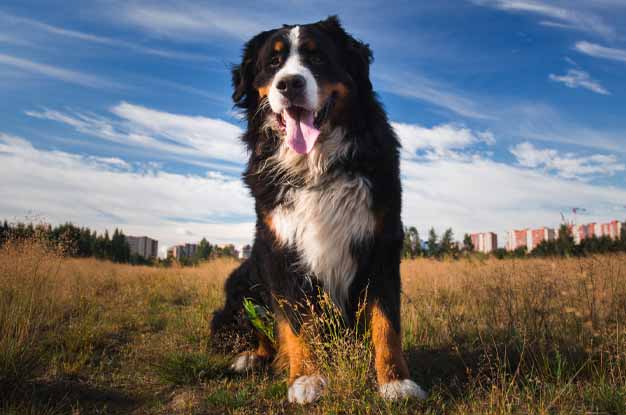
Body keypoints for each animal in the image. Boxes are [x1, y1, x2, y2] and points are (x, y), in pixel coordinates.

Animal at [212, 15, 426, 404]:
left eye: (317, 57)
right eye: (273, 62)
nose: (289, 83)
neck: (315, 166)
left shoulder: (381, 244)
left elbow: (385, 322)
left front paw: (395, 381)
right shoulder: (281, 251)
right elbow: (298, 324)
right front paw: (306, 378)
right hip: (242, 280)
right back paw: (248, 357)